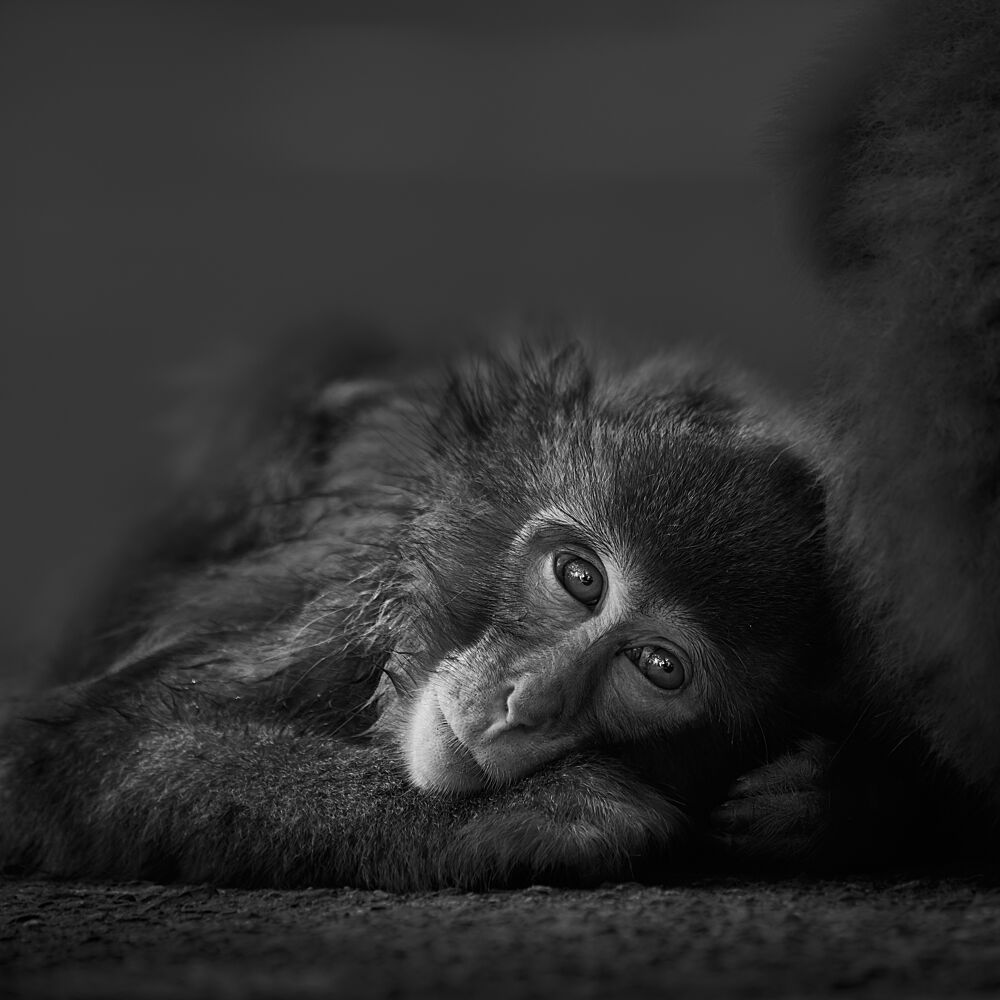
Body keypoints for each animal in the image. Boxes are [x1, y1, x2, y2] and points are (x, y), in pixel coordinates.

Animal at [0, 334, 835, 889]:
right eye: (580, 579)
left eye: (658, 666)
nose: (523, 703)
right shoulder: (356, 595)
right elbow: (73, 756)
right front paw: (560, 808)